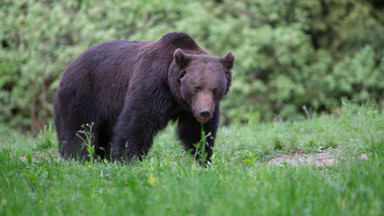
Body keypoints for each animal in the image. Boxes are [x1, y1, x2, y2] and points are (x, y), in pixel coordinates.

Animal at [53, 32, 234, 164]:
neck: (176, 95)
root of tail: (70, 65)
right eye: (196, 87)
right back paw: (78, 156)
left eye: (214, 89)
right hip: (84, 93)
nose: (204, 112)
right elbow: (137, 122)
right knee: (79, 128)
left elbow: (197, 133)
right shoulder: (152, 85)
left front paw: (203, 157)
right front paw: (127, 158)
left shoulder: (189, 109)